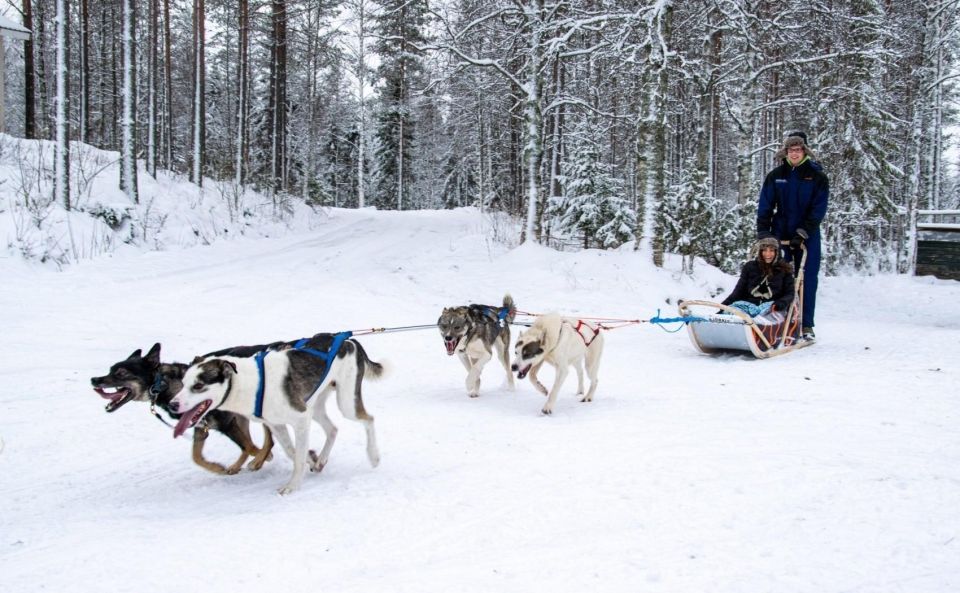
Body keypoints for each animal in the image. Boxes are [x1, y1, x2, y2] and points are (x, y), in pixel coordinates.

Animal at [90, 342, 274, 476]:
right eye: (110, 369)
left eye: (121, 372)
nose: (94, 380)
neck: (163, 385)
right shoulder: (201, 425)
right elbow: (196, 456)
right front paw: (216, 467)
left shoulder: (226, 422)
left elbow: (249, 446)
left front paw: (261, 457)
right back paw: (238, 466)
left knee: (265, 439)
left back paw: (258, 459)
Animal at [169, 332, 382, 494]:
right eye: (183, 383)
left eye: (198, 386)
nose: (172, 404)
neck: (251, 384)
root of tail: (347, 340)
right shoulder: (277, 424)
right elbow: (291, 451)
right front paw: (310, 459)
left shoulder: (300, 418)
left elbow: (297, 456)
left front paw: (292, 486)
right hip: (314, 406)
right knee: (333, 429)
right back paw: (321, 460)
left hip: (346, 404)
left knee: (369, 419)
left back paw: (373, 456)